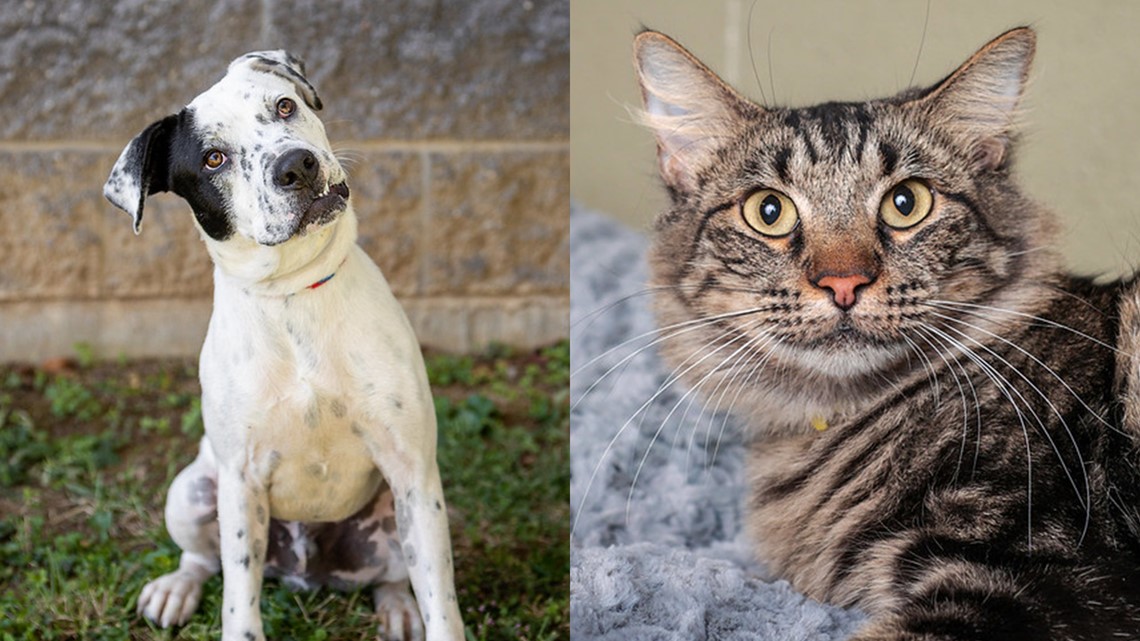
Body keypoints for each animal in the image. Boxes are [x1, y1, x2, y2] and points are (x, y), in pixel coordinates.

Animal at [104, 51, 465, 638]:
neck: (293, 295)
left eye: (284, 106)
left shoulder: (413, 470)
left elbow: (441, 599)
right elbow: (238, 596)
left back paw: (398, 609)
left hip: (402, 515)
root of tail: (304, 572)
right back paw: (175, 590)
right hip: (193, 492)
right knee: (203, 560)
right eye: (214, 158)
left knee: (394, 577)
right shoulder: (242, 481)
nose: (297, 165)